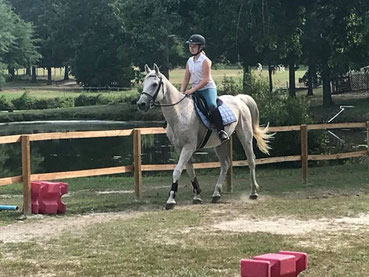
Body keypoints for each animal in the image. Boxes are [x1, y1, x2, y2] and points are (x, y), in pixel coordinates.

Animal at [137, 63, 272, 208]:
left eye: (155, 84)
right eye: (144, 83)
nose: (141, 104)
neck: (180, 112)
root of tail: (238, 99)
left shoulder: (188, 147)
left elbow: (177, 171)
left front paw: (171, 200)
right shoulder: (180, 148)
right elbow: (190, 171)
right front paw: (197, 196)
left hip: (245, 135)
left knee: (251, 160)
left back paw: (253, 192)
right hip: (220, 143)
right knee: (225, 164)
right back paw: (216, 194)